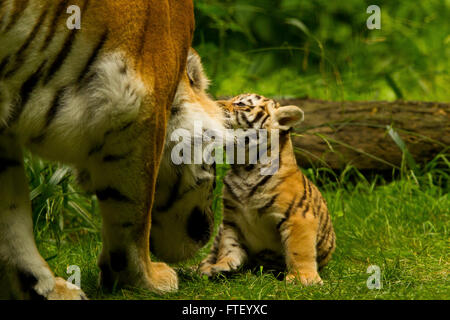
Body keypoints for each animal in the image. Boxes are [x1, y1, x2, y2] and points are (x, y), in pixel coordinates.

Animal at [0, 0, 218, 300]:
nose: (209, 231)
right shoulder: (141, 105)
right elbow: (134, 214)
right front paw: (145, 279)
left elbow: (12, 216)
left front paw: (47, 288)